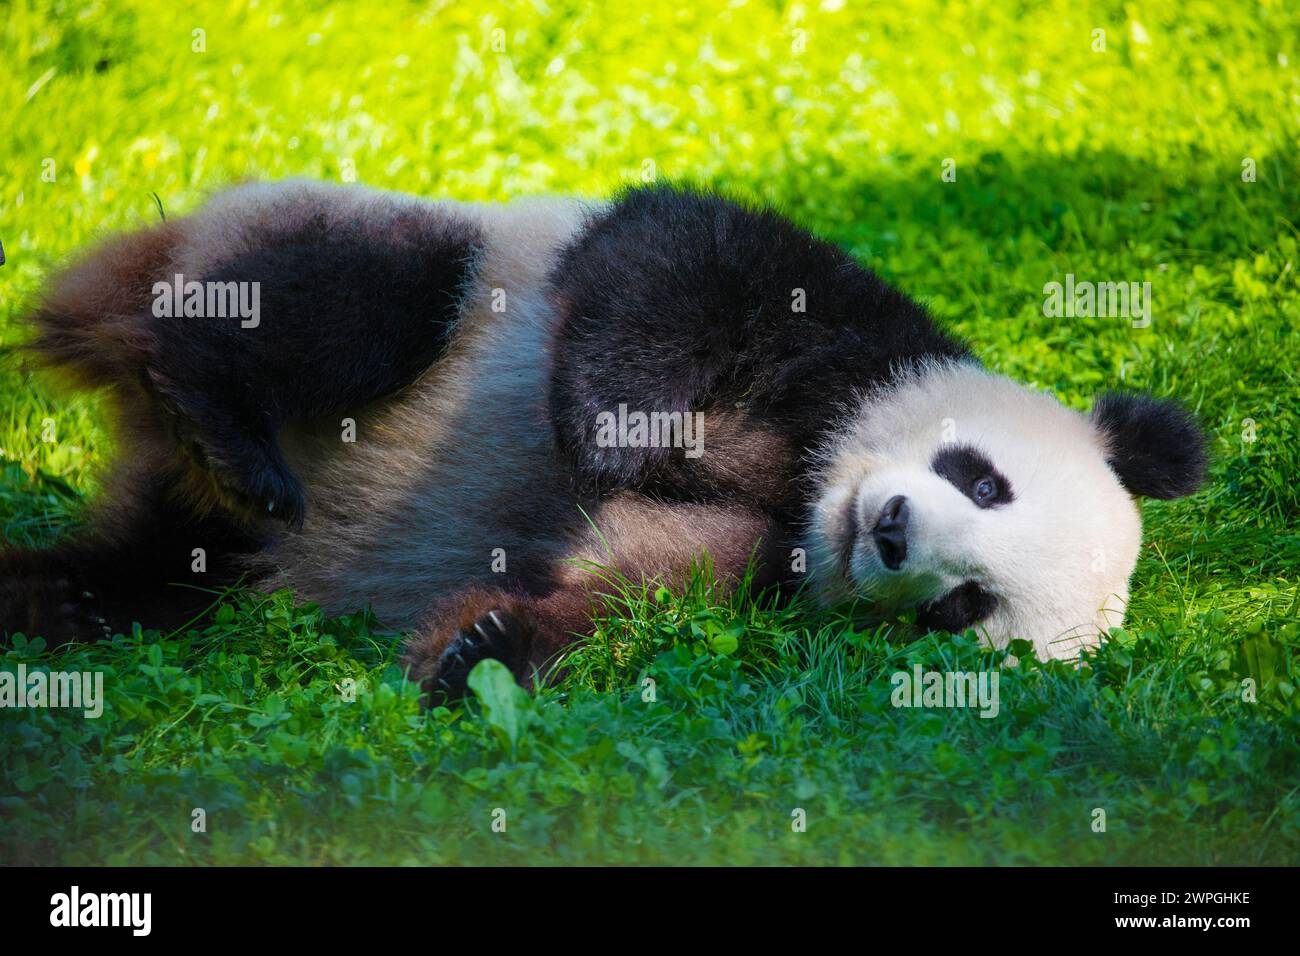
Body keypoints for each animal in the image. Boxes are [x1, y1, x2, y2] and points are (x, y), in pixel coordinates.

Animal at [0, 180, 1208, 701]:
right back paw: (212, 404)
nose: (896, 532)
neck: (812, 479)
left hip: (186, 538)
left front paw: (478, 644)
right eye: (985, 479)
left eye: (962, 607)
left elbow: (630, 585)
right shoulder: (841, 323)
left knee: (155, 564)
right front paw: (614, 436)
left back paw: (60, 593)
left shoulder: (761, 571)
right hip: (411, 261)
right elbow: (673, 262)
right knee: (354, 293)